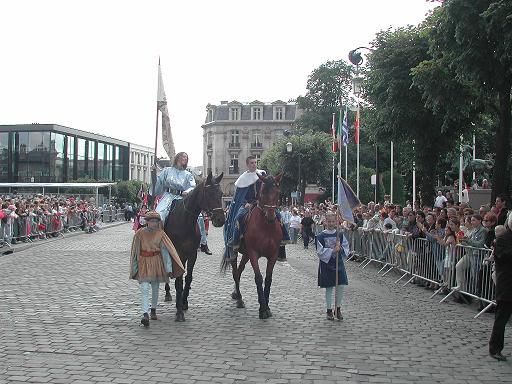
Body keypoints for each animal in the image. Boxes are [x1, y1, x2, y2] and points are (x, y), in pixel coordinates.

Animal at [166, 172, 224, 320]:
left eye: (221, 193)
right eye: (209, 193)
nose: (221, 219)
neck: (184, 220)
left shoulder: (192, 254)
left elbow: (188, 278)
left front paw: (184, 302)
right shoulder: (178, 254)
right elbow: (179, 280)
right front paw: (179, 311)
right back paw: (167, 293)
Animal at [228, 173, 284, 318]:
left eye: (277, 192)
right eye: (263, 192)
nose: (271, 217)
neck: (266, 227)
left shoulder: (273, 255)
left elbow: (268, 279)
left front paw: (267, 306)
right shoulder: (254, 253)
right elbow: (258, 278)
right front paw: (262, 308)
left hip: (246, 254)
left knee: (239, 271)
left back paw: (237, 295)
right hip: (235, 251)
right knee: (235, 272)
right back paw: (239, 298)